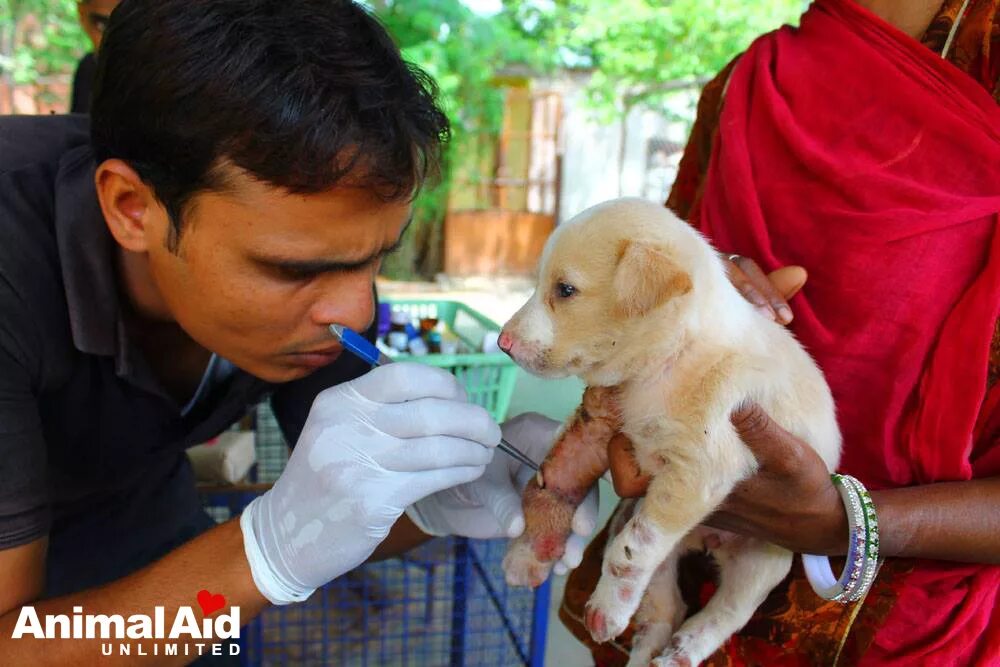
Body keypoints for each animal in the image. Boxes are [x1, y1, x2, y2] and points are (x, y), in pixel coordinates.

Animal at [498, 198, 836, 667]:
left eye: (565, 290)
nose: (503, 343)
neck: (667, 362)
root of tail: (708, 540)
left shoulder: (700, 470)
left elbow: (631, 550)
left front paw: (606, 608)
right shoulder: (600, 427)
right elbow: (554, 479)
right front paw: (533, 551)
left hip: (762, 560)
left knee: (726, 612)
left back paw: (684, 649)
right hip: (657, 551)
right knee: (666, 609)